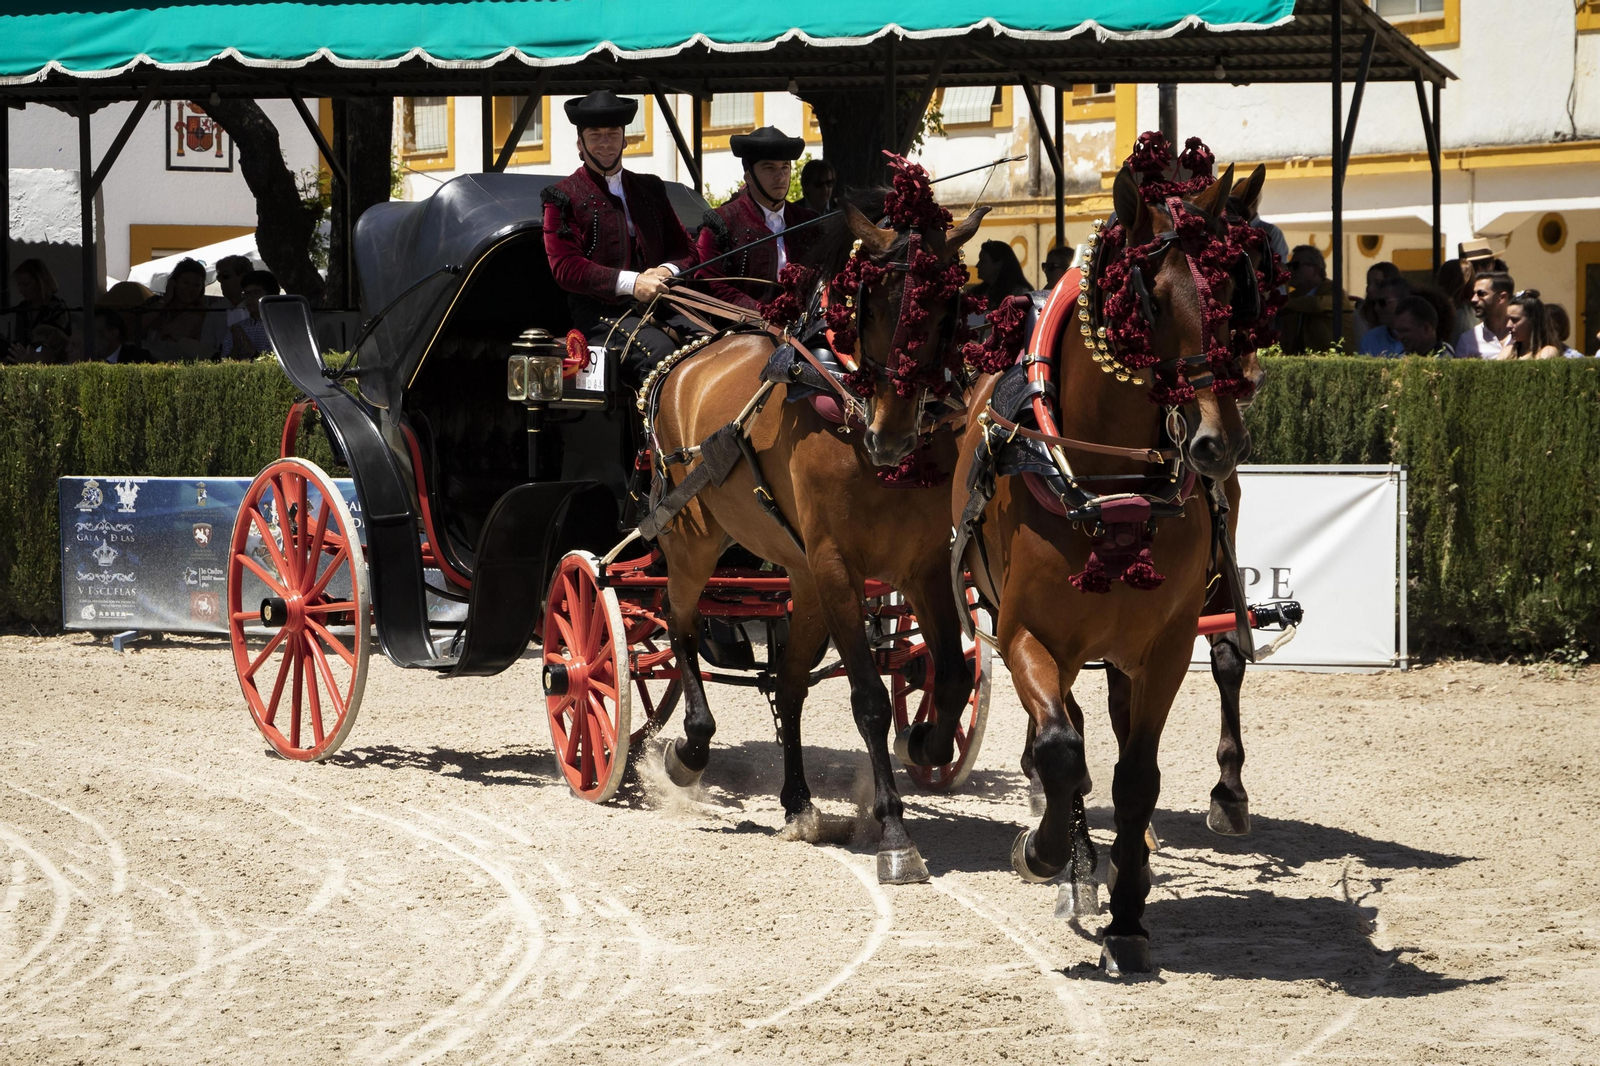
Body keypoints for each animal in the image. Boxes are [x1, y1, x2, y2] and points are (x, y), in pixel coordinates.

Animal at [645, 168, 987, 884]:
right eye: (871, 302)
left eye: (948, 307)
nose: (892, 436)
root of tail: (684, 361)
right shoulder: (838, 566)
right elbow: (869, 699)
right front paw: (894, 831)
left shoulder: (919, 565)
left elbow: (949, 670)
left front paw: (928, 739)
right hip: (695, 540)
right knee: (677, 622)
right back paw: (690, 747)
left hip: (799, 577)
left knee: (790, 680)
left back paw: (799, 801)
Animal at [951, 148, 1262, 973]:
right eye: (1148, 300)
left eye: (1234, 291)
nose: (1217, 442)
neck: (1110, 483)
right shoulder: (1027, 633)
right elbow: (1062, 748)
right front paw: (1048, 852)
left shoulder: (1163, 646)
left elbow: (1138, 778)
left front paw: (1128, 914)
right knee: (1068, 736)